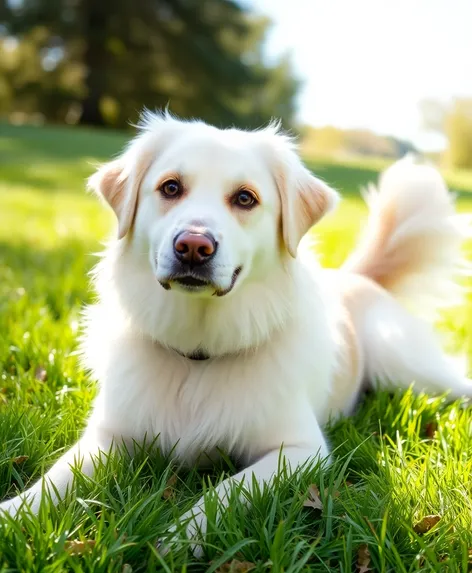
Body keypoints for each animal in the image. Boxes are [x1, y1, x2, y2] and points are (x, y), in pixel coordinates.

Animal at [0, 110, 472, 556]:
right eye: (170, 188)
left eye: (245, 198)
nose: (193, 246)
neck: (198, 354)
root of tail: (358, 277)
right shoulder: (108, 437)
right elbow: (55, 479)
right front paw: (12, 514)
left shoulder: (300, 451)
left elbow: (226, 489)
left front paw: (179, 537)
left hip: (407, 366)